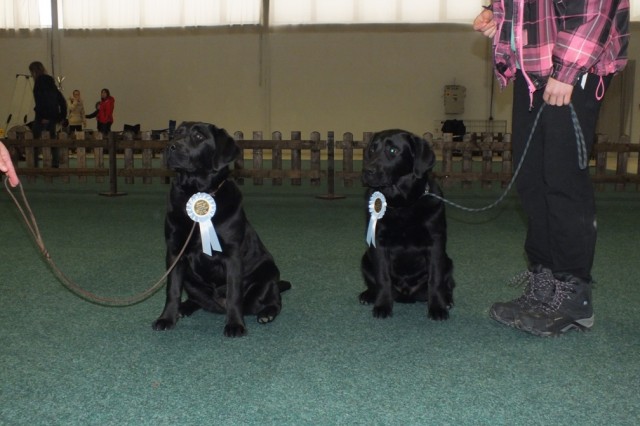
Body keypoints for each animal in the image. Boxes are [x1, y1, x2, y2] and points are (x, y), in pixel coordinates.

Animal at [152, 122, 291, 337]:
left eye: (199, 136)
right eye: (176, 134)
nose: (170, 147)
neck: (196, 193)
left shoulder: (232, 255)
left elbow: (234, 293)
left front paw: (235, 324)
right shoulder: (175, 253)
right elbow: (172, 290)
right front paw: (166, 318)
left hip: (268, 273)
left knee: (275, 300)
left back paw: (266, 313)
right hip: (190, 279)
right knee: (196, 299)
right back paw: (184, 307)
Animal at [359, 129, 455, 320]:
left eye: (393, 150)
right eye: (372, 149)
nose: (367, 171)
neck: (402, 204)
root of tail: (406, 294)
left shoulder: (435, 242)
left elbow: (435, 279)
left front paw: (438, 307)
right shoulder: (378, 243)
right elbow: (383, 278)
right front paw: (383, 305)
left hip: (448, 261)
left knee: (446, 283)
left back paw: (447, 300)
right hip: (365, 259)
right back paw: (368, 295)